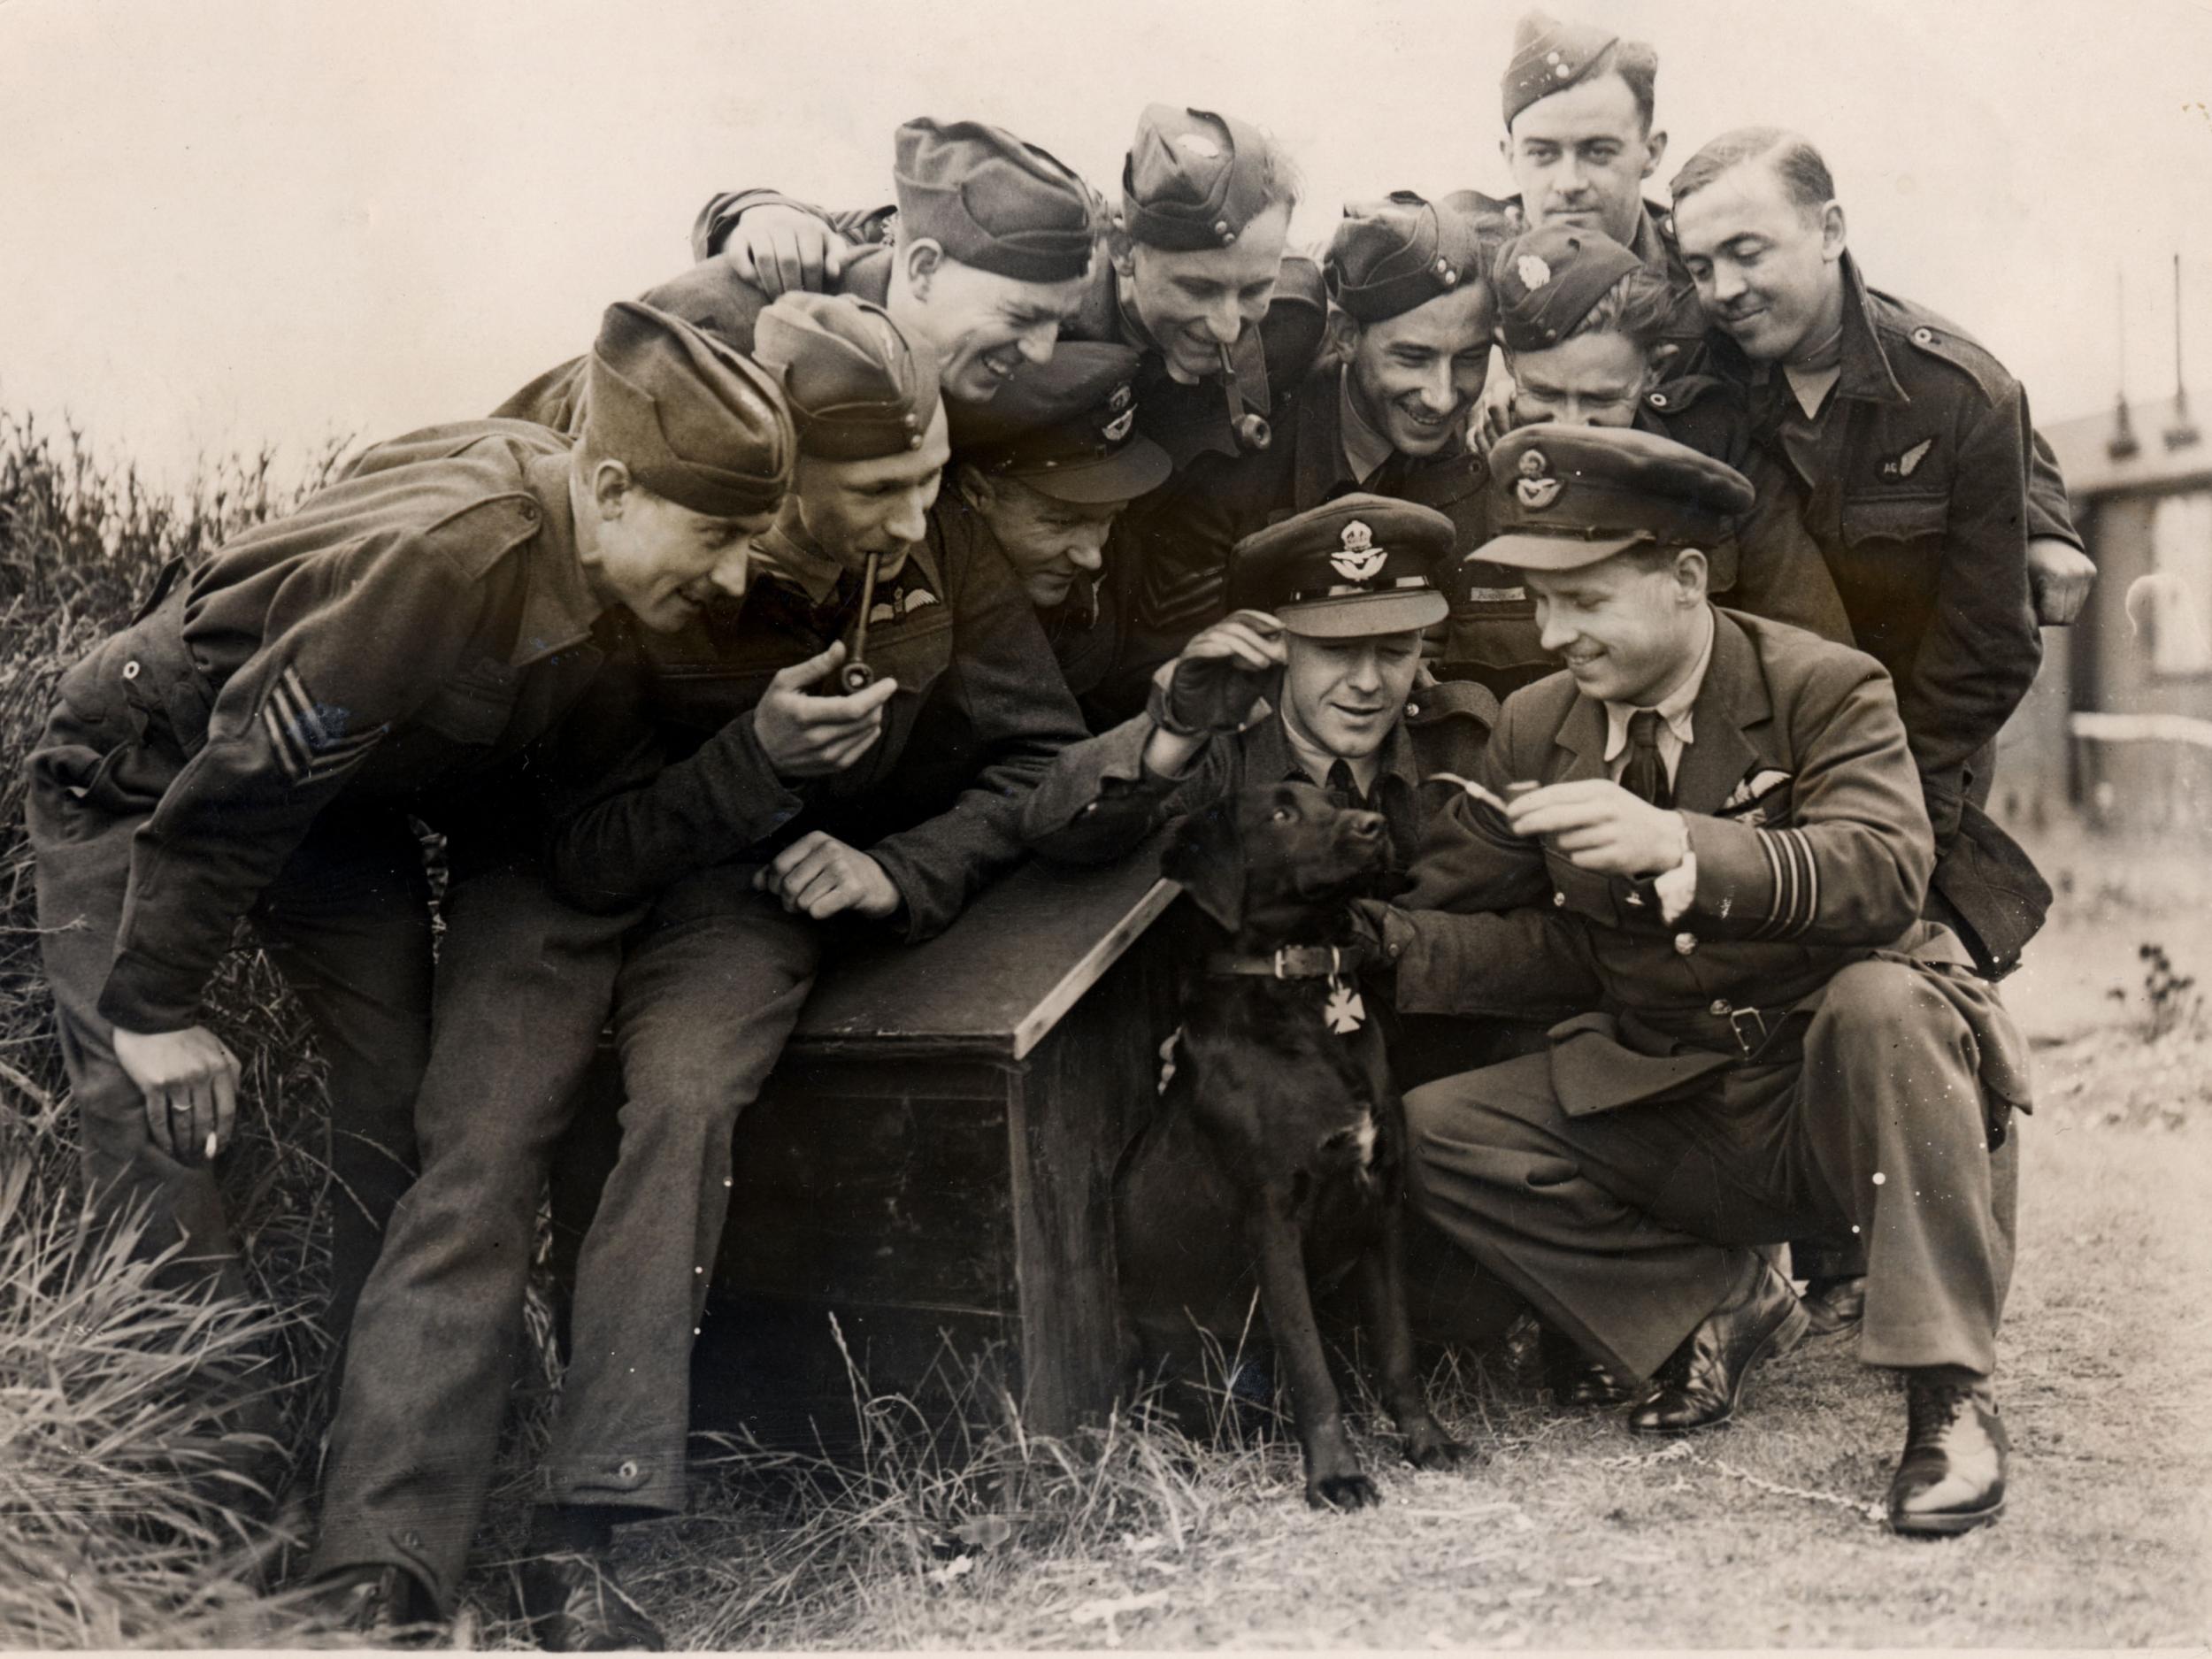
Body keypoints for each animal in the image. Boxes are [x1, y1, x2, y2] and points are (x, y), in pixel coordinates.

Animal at [1124, 779, 1469, 1504]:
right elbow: (1310, 1368)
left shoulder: (1381, 1203)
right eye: (1280, 813)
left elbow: (1399, 1348)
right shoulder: (1273, 1220)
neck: (1307, 997)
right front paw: (1336, 1475)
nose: (1373, 825)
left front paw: (1427, 1441)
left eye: (1329, 798)